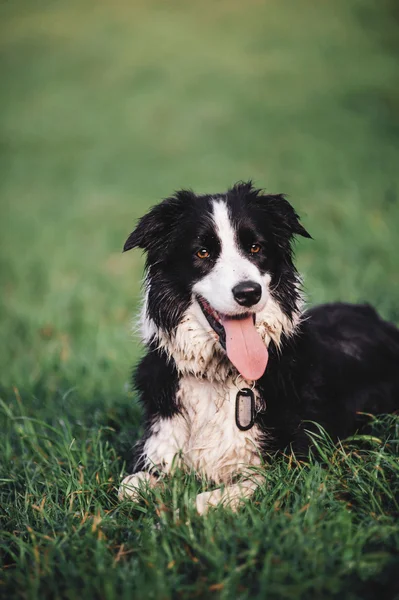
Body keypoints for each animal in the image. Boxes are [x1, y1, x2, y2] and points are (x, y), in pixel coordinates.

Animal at [118, 180, 399, 512]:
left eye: (255, 248)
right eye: (203, 252)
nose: (249, 293)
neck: (221, 376)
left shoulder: (300, 464)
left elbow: (217, 495)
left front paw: (184, 506)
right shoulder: (160, 443)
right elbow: (128, 486)